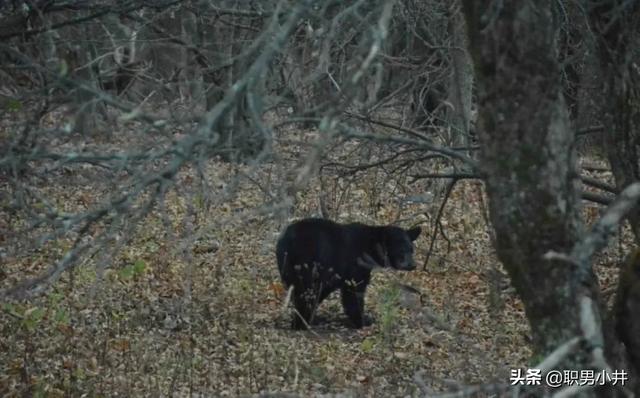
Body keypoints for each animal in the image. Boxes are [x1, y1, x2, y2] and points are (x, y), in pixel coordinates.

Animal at [276, 218, 420, 330]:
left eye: (411, 249)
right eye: (401, 250)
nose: (412, 265)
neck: (370, 248)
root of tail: (288, 240)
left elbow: (324, 290)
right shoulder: (354, 265)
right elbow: (353, 292)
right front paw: (364, 320)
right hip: (307, 263)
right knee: (305, 290)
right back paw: (300, 323)